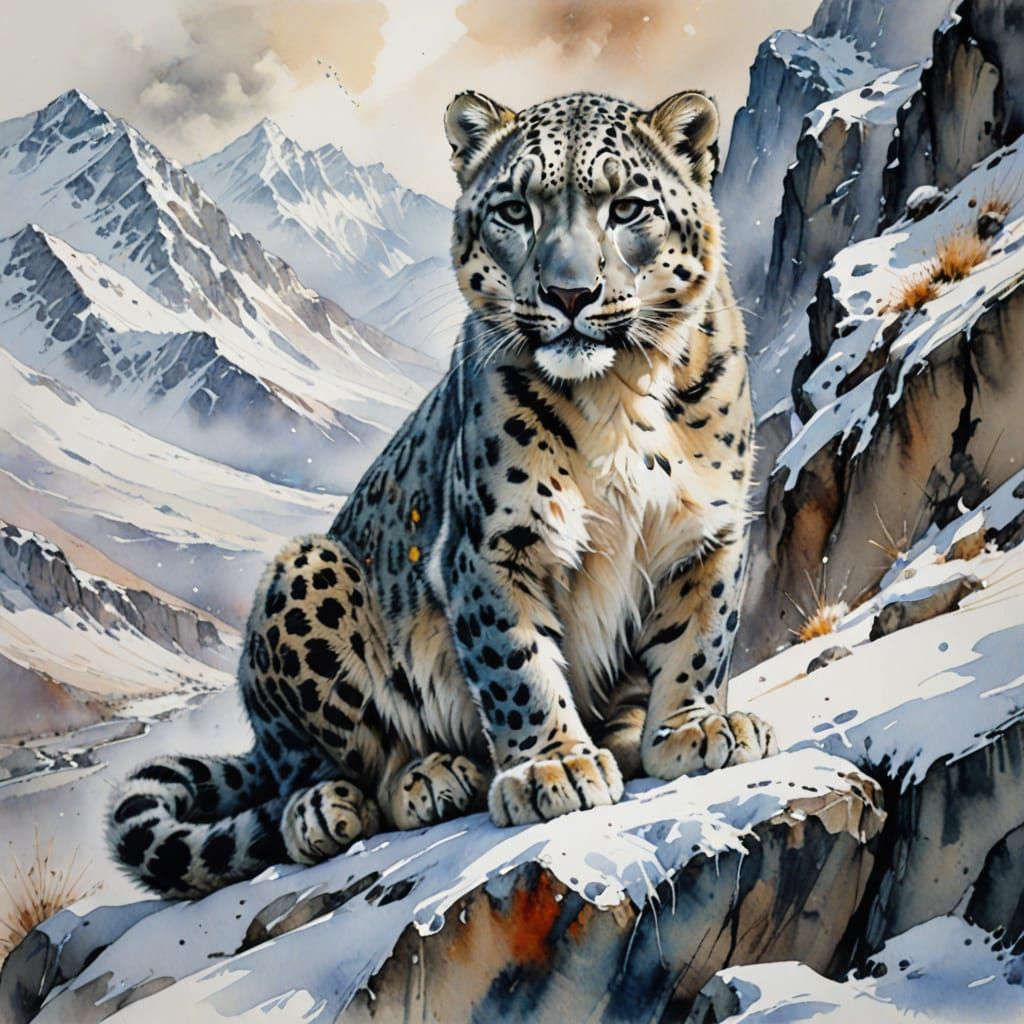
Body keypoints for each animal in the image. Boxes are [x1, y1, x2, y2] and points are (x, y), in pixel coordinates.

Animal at [108, 89, 777, 897]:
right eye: (515, 209)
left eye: (627, 208)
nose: (569, 292)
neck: (617, 395)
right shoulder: (492, 545)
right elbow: (516, 663)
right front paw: (553, 767)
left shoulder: (708, 532)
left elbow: (699, 638)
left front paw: (695, 727)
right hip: (306, 575)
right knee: (320, 765)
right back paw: (387, 790)